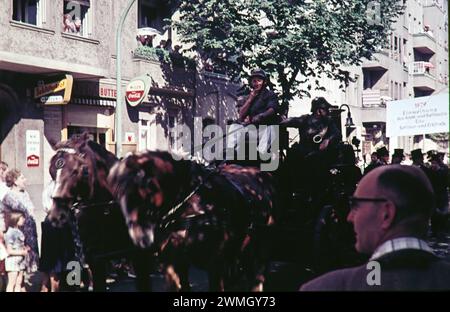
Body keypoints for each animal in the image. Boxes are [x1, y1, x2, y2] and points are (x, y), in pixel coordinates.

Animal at [107, 150, 276, 292]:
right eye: (117, 193)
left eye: (148, 187)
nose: (139, 238)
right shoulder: (173, 263)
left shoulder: (216, 264)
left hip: (263, 246)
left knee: (257, 276)